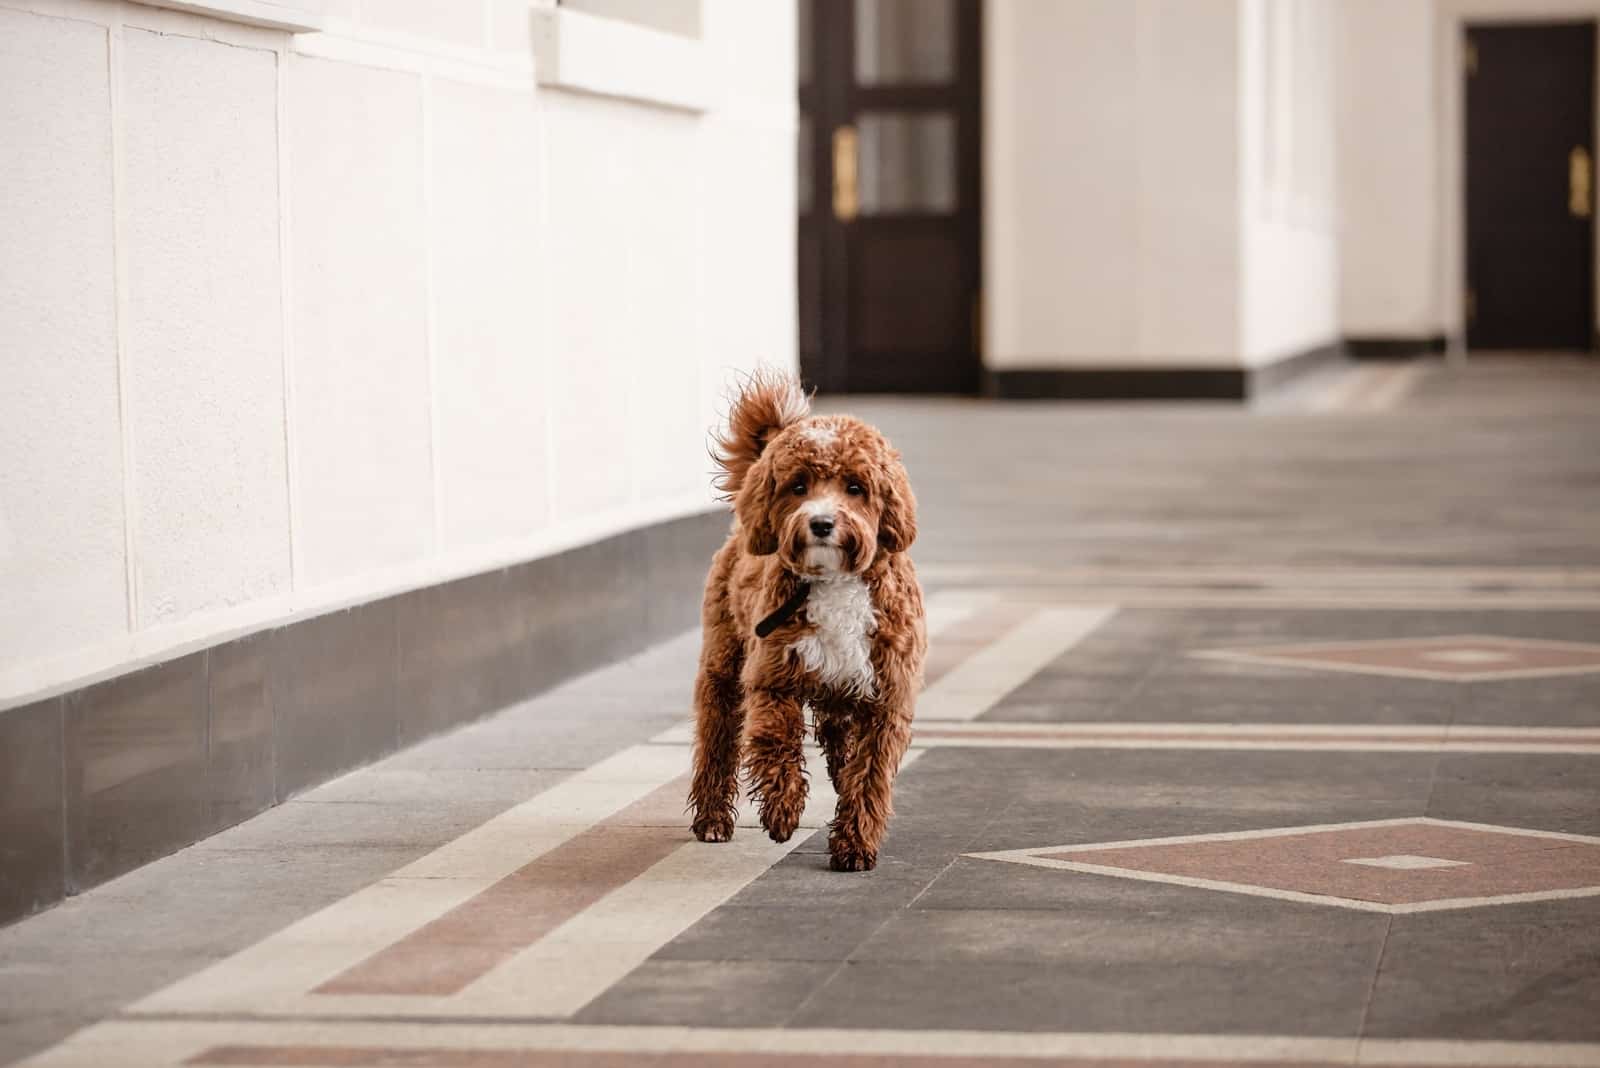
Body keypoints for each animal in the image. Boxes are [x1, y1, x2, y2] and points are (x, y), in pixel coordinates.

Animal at [688, 370, 928, 869]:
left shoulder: (886, 695)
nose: (820, 524)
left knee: (841, 742)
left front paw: (855, 844)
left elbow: (869, 774)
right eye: (798, 486)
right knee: (716, 738)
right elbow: (776, 743)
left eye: (855, 487)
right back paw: (713, 818)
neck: (834, 580)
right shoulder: (773, 677)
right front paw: (782, 812)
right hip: (723, 663)